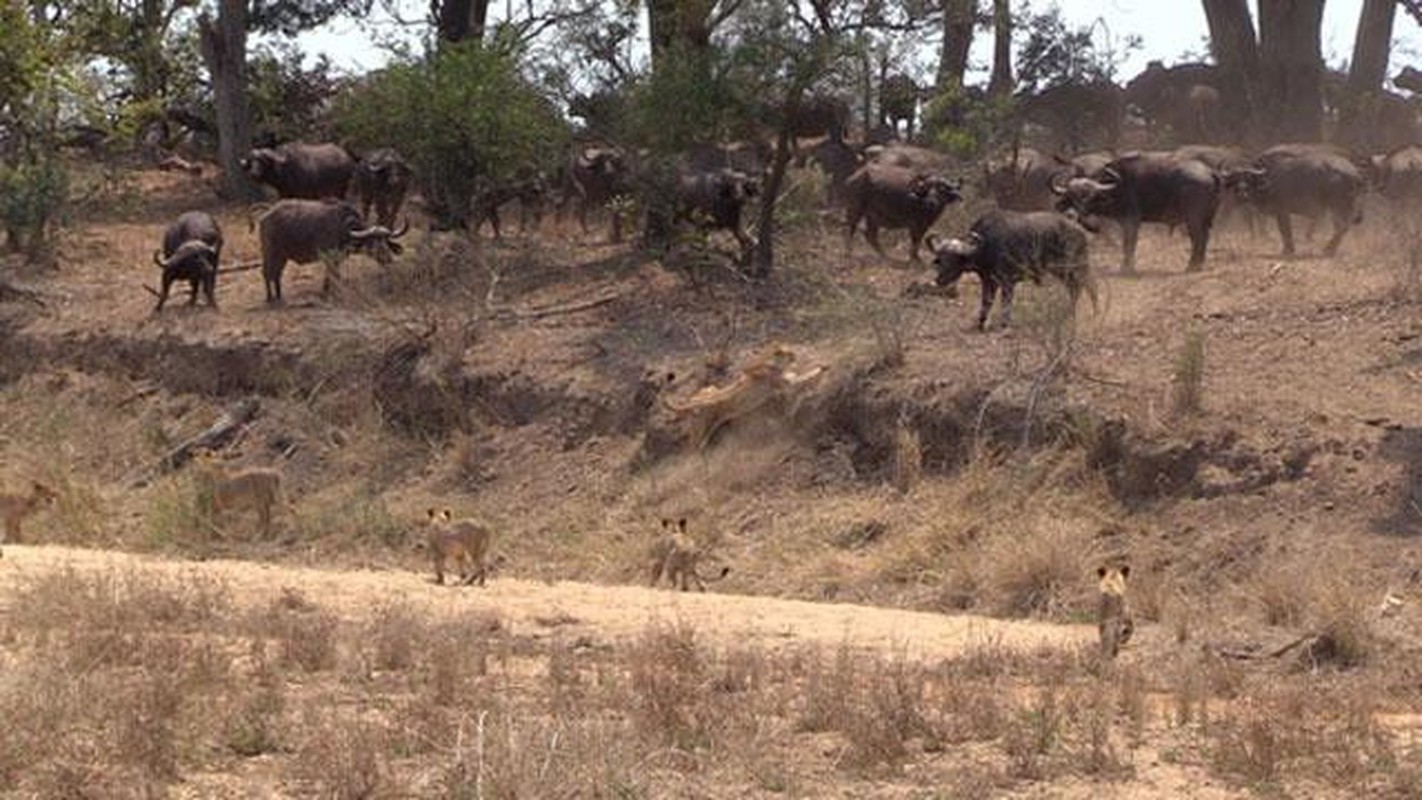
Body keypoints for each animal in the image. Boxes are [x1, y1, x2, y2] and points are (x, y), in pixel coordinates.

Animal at [255, 197, 409, 304]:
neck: (343, 228)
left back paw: (279, 296)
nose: (387, 258)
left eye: (386, 242)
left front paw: (329, 290)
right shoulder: (328, 256)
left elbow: (332, 275)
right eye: (372, 242)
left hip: (282, 256)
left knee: (276, 274)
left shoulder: (337, 259)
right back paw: (270, 298)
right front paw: (330, 292)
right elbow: (333, 275)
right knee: (266, 272)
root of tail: (265, 216)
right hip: (269, 252)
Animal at [927, 210, 1092, 332]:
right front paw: (981, 323)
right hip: (1064, 272)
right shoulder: (987, 280)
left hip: (1077, 268)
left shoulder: (1007, 282)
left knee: (1088, 288)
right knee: (1074, 289)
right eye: (940, 259)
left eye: (956, 259)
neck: (986, 246)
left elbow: (1005, 303)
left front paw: (1004, 324)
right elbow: (986, 301)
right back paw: (1069, 312)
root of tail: (1079, 228)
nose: (939, 280)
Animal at [1052, 150, 1217, 272]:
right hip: (1203, 220)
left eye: (1089, 196)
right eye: (1070, 196)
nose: (1073, 214)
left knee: (1199, 239)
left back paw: (1192, 266)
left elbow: (1129, 244)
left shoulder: (1131, 221)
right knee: (1204, 238)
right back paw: (1198, 265)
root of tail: (1209, 171)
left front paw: (1126, 268)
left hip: (1194, 220)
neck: (1116, 187)